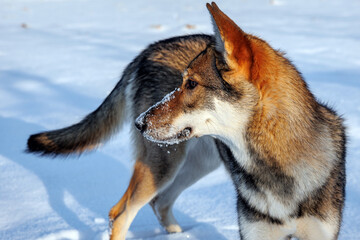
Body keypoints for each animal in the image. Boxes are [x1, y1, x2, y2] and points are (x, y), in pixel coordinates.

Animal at [26, 1, 346, 240]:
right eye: (182, 82)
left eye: (191, 84)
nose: (139, 123)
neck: (277, 169)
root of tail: (146, 51)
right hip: (163, 168)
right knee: (121, 213)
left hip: (195, 165)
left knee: (160, 203)